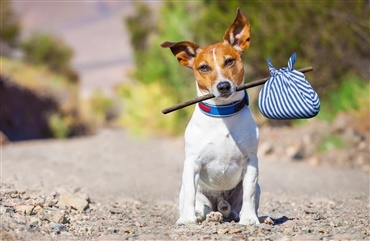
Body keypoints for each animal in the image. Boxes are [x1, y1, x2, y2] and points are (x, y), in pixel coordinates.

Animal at [161, 7, 260, 226]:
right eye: (204, 67)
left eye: (229, 61)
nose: (223, 86)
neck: (223, 114)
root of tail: (220, 203)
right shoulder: (192, 163)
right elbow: (190, 194)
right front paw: (187, 220)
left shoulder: (251, 161)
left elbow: (249, 193)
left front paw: (250, 219)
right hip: (194, 194)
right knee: (201, 207)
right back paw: (208, 215)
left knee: (237, 208)